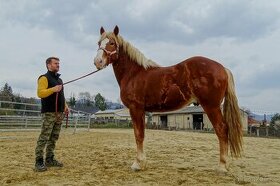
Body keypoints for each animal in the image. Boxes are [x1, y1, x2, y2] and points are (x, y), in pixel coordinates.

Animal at [94, 25, 243, 172]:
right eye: (99, 43)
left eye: (112, 43)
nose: (97, 61)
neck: (133, 74)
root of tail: (223, 68)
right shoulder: (141, 110)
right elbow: (141, 134)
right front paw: (143, 162)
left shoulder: (135, 108)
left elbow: (138, 135)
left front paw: (137, 164)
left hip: (211, 106)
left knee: (222, 129)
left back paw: (222, 166)